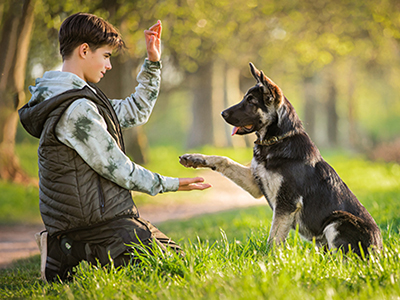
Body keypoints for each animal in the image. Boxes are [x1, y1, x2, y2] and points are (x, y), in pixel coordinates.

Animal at [180, 62, 382, 255]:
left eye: (251, 101)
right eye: (245, 98)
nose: (222, 113)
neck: (276, 140)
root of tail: (379, 251)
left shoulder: (286, 204)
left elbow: (274, 239)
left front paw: (269, 260)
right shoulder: (256, 185)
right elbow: (224, 160)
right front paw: (194, 158)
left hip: (337, 221)